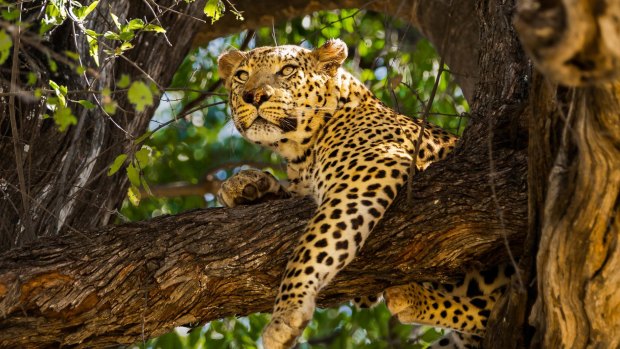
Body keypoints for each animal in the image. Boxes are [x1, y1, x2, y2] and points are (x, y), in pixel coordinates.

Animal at [216, 38, 512, 348]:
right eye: (241, 76)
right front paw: (246, 186)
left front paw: (286, 312)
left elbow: (313, 245)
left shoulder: (369, 168)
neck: (300, 155)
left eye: (287, 70)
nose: (254, 96)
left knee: (490, 307)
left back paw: (412, 299)